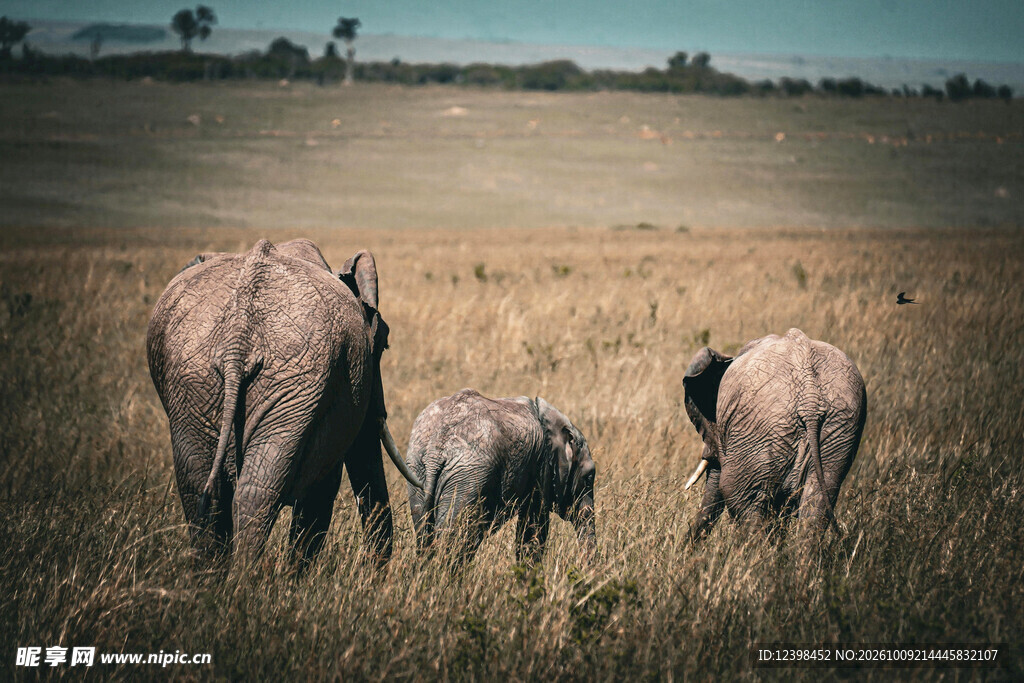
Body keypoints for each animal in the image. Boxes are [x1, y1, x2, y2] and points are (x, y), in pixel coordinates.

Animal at [146, 238, 422, 571]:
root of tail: (239, 333)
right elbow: (323, 491)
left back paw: (214, 579)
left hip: (205, 381)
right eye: (383, 344)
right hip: (272, 381)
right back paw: (243, 581)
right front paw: (295, 577)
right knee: (251, 493)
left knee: (204, 488)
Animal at [405, 389, 596, 565]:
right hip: (467, 479)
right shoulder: (542, 469)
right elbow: (533, 530)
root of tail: (436, 449)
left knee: (425, 533)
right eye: (589, 479)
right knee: (455, 541)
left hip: (419, 470)